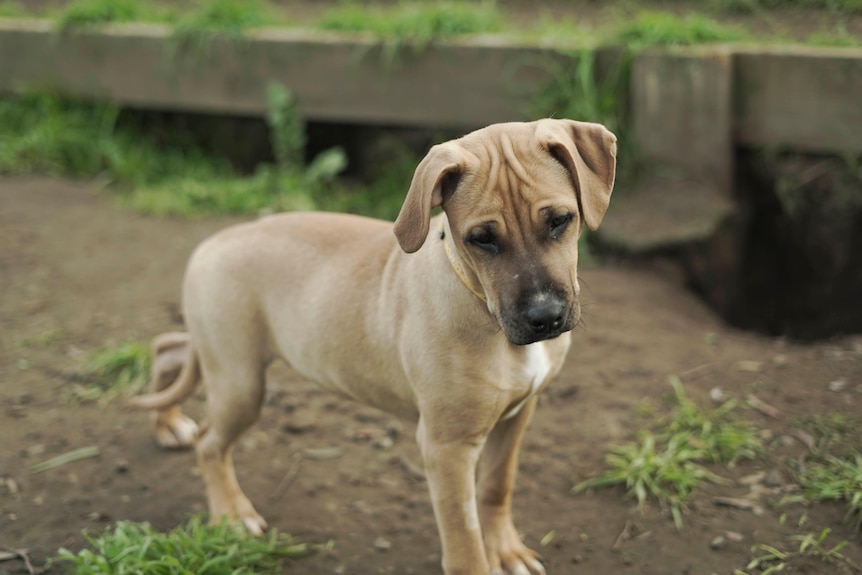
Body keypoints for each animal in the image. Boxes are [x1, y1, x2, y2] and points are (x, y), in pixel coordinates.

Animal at [130, 118, 616, 575]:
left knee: (170, 347)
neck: (480, 303)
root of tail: (212, 243)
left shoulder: (517, 415)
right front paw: (485, 555)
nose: (545, 317)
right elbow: (463, 542)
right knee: (210, 443)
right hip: (240, 380)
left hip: (218, 355)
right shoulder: (447, 447)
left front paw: (506, 551)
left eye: (560, 220)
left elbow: (498, 486)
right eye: (482, 238)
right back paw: (232, 515)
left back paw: (167, 423)